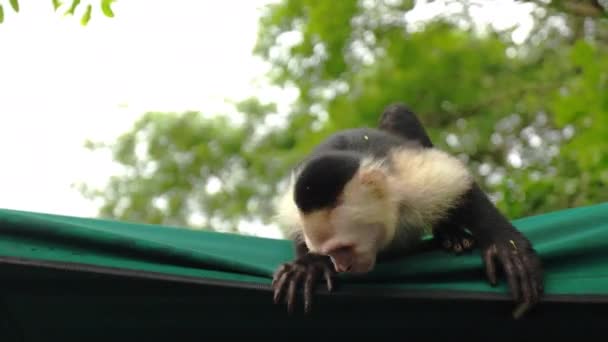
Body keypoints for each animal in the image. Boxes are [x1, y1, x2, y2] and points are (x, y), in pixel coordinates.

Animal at [274, 103, 544, 320]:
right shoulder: (296, 201)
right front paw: (308, 265)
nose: (342, 267)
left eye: (345, 249)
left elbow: (458, 182)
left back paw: (450, 232)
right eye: (328, 253)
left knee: (398, 113)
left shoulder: (408, 184)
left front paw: (506, 245)